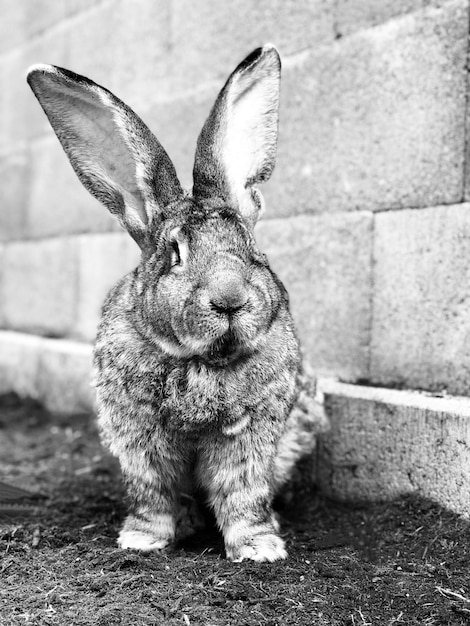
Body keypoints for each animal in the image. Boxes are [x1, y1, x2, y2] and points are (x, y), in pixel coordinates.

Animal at [25, 45, 326, 560]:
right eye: (175, 253)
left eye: (252, 250)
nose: (230, 299)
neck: (200, 359)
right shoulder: (140, 439)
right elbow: (155, 491)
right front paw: (143, 540)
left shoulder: (250, 438)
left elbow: (243, 492)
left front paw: (259, 548)